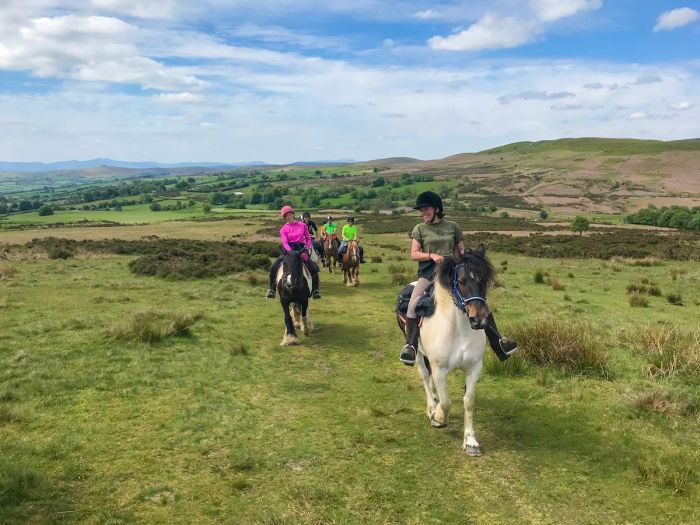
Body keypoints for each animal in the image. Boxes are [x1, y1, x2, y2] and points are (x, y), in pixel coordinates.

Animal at [402, 245, 494, 454]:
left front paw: (471, 441)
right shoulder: (439, 369)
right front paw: (438, 417)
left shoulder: (474, 368)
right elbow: (446, 401)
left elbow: (469, 400)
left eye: (484, 280)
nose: (479, 319)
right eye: (461, 281)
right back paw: (431, 407)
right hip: (418, 354)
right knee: (425, 378)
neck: (458, 330)